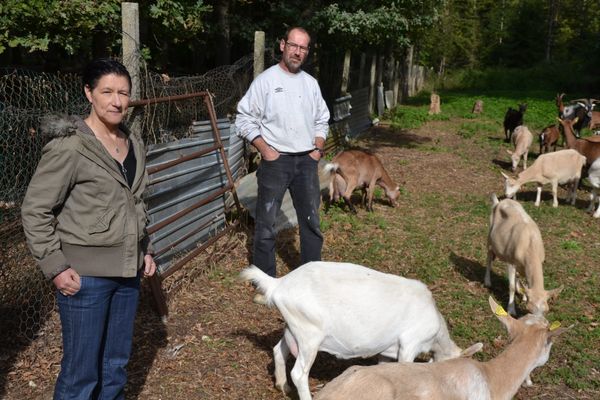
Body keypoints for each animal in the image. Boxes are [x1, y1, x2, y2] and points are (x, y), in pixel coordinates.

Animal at [239, 262, 482, 400]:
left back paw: (283, 386)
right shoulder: (410, 344)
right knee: (299, 373)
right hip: (310, 335)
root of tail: (278, 284)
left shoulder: (387, 352)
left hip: (293, 328)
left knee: (278, 350)